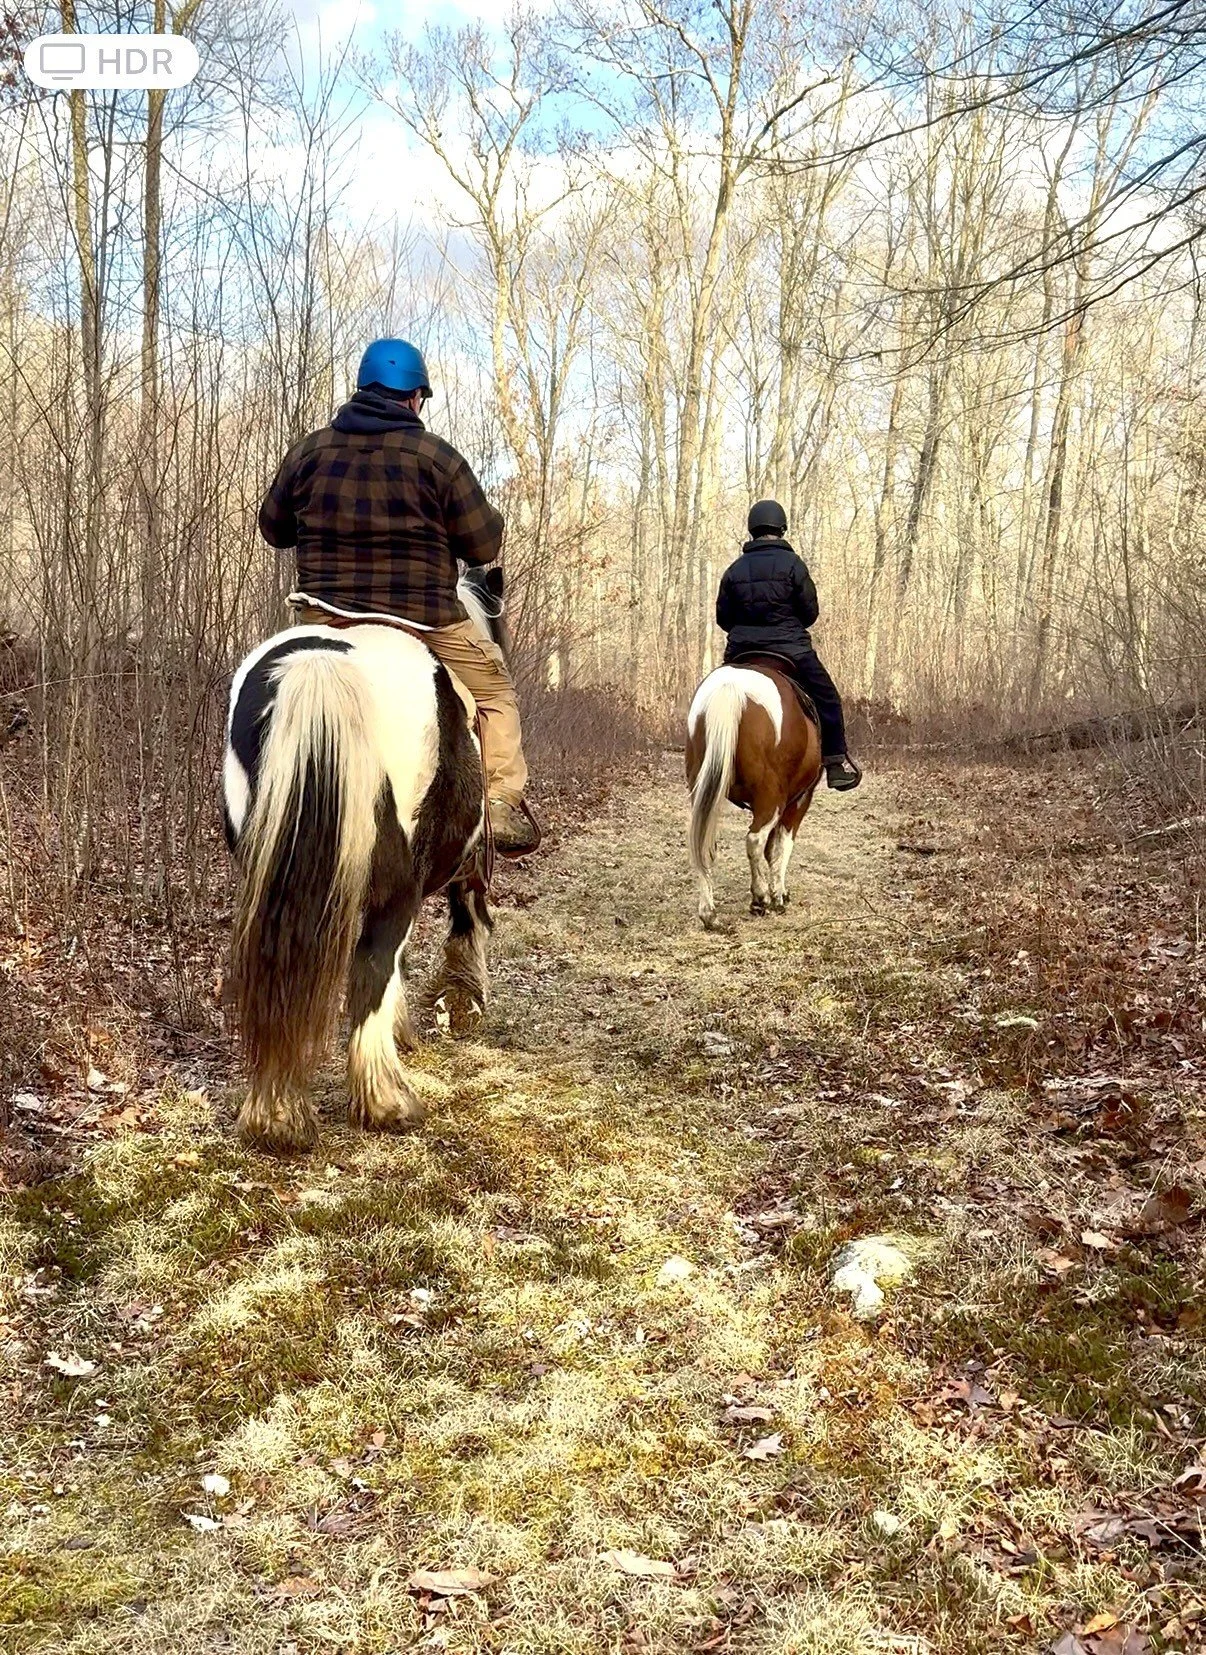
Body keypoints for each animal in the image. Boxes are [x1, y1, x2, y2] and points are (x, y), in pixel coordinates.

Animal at [221, 567, 506, 1153]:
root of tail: (320, 664)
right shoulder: (460, 865)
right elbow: (461, 921)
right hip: (396, 886)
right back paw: (385, 1102)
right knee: (372, 964)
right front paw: (460, 1000)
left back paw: (274, 1115)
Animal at [685, 656, 824, 930]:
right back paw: (760, 899)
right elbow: (781, 845)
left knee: (704, 843)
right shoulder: (800, 799)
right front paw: (778, 894)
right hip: (772, 797)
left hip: (702, 791)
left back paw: (709, 914)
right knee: (755, 839)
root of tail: (730, 688)